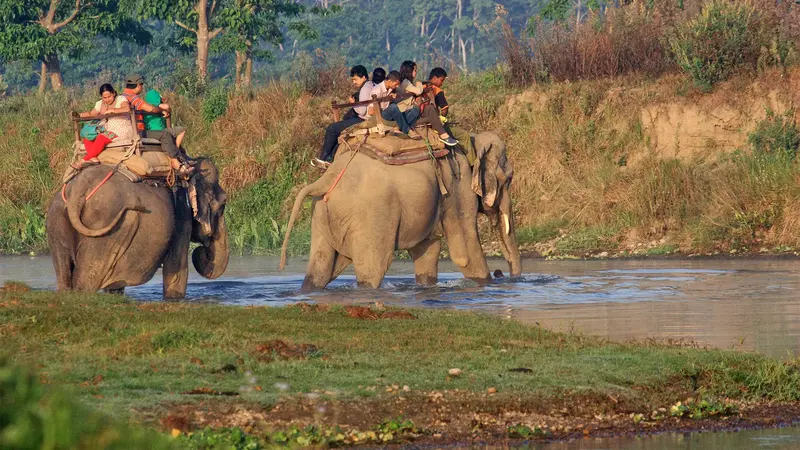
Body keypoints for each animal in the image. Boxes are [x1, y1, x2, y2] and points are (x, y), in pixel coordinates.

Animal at [46, 158, 229, 299]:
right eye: (223, 203)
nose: (204, 252)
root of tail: (78, 190)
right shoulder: (181, 215)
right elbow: (176, 271)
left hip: (55, 222)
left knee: (63, 275)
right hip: (104, 229)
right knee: (85, 280)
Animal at [279, 144, 491, 291]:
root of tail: (327, 178)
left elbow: (426, 248)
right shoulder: (458, 185)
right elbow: (464, 252)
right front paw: (487, 284)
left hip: (321, 213)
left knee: (319, 269)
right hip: (372, 216)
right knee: (373, 269)